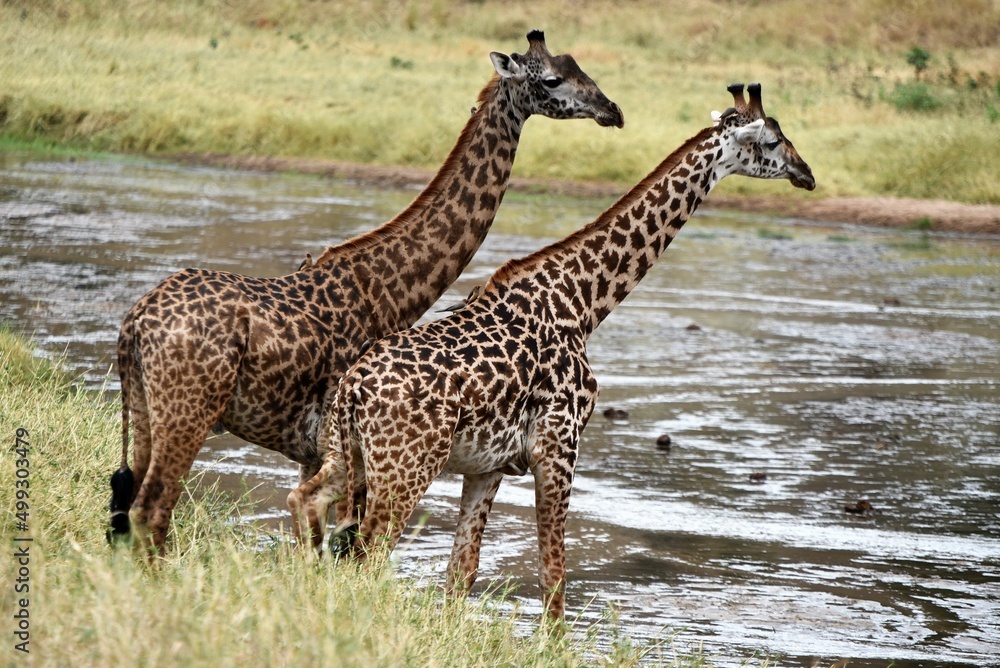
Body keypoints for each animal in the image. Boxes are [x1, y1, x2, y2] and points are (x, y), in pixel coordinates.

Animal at [108, 31, 624, 551]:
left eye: (579, 67)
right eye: (553, 79)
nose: (613, 110)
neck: (392, 287)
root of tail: (135, 322)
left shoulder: (316, 452)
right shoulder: (343, 449)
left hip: (145, 410)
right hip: (188, 414)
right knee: (152, 512)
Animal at [287, 83, 814, 620]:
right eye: (773, 141)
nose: (807, 173)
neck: (583, 303)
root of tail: (354, 388)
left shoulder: (488, 465)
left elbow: (462, 571)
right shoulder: (559, 448)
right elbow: (554, 576)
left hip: (348, 455)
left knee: (307, 504)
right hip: (406, 468)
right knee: (368, 552)